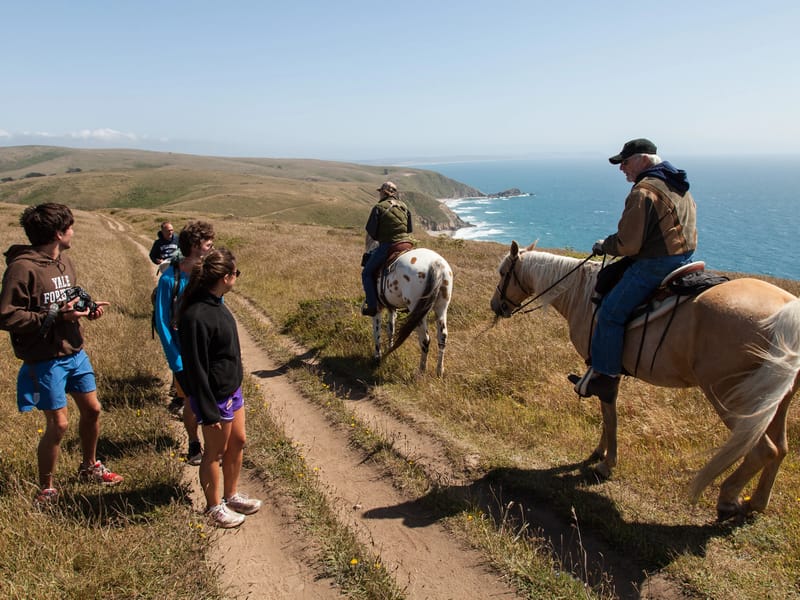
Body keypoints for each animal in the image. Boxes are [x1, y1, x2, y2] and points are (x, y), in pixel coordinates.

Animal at [366, 243, 453, 377]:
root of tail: (436, 263)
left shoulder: (377, 308)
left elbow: (377, 332)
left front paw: (378, 357)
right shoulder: (392, 308)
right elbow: (390, 330)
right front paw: (390, 350)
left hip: (417, 311)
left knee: (425, 340)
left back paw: (421, 371)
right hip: (441, 308)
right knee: (442, 337)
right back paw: (439, 371)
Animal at [490, 241, 800, 521]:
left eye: (504, 272)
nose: (496, 305)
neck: (583, 295)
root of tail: (786, 313)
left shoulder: (601, 365)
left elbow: (609, 413)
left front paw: (606, 463)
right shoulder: (609, 370)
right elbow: (608, 413)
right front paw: (600, 452)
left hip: (731, 396)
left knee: (762, 449)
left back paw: (727, 499)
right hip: (776, 399)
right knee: (781, 449)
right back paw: (756, 503)